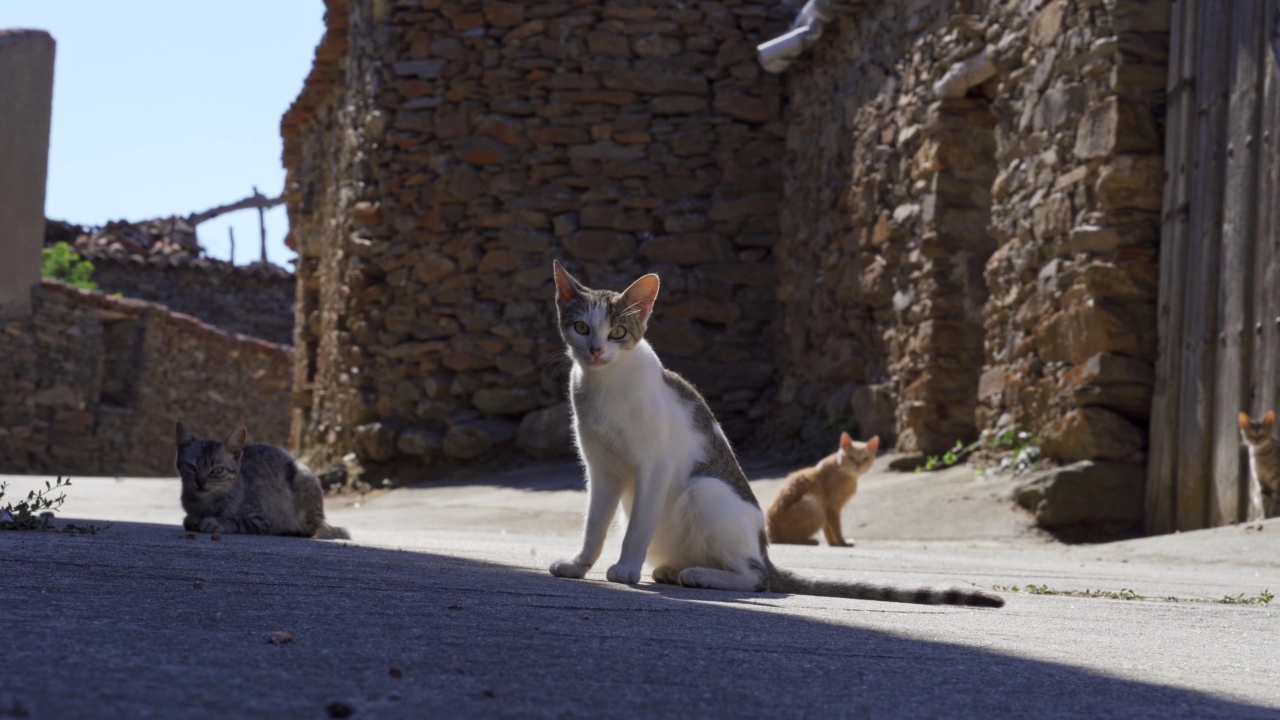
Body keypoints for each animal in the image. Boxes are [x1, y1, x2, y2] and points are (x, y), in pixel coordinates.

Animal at [175, 420, 348, 538]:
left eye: (217, 470)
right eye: (191, 467)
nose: (200, 482)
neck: (205, 503)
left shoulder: (260, 520)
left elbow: (236, 521)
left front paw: (214, 522)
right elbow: (187, 520)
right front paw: (194, 520)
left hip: (304, 483)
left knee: (309, 530)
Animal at [545, 258, 1003, 604]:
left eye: (618, 332)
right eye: (582, 328)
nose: (596, 350)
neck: (606, 386)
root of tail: (765, 550)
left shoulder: (653, 467)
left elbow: (638, 525)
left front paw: (626, 569)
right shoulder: (601, 469)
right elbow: (594, 524)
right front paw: (579, 565)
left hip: (704, 489)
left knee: (756, 578)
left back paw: (701, 575)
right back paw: (677, 569)